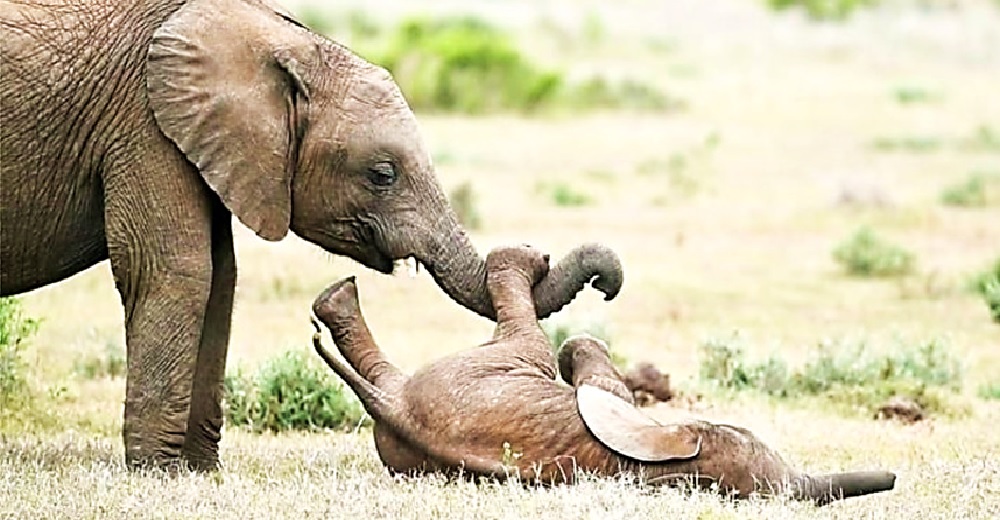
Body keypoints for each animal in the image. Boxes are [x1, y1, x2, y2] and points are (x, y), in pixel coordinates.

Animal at [308, 246, 896, 506]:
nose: (889, 477)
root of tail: (394, 410)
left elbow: (584, 356)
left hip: (486, 371)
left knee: (527, 337)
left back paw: (336, 299)